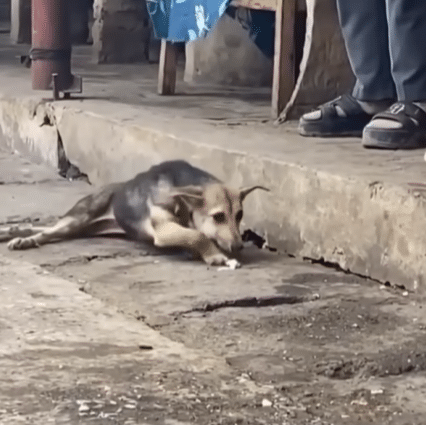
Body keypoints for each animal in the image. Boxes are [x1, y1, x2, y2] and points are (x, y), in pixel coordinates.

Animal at [1, 160, 268, 267]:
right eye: (218, 216)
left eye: (240, 215)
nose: (239, 247)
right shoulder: (163, 230)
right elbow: (197, 235)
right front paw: (215, 256)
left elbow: (195, 235)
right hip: (79, 218)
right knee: (48, 232)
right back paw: (23, 239)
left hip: (86, 228)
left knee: (48, 229)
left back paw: (14, 231)